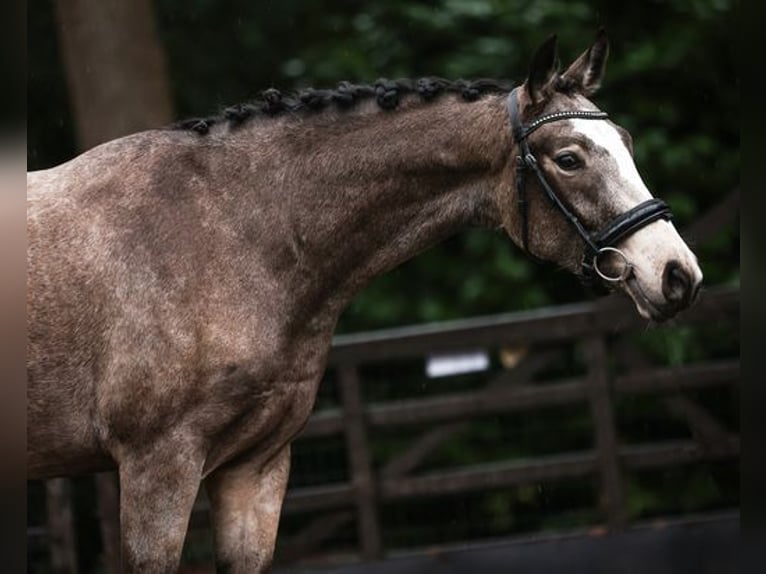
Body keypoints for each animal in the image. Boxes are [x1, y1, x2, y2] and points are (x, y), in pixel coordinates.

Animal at [28, 32, 704, 574]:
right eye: (569, 158)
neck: (228, 232)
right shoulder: (157, 470)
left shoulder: (255, 470)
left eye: (626, 141)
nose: (676, 274)